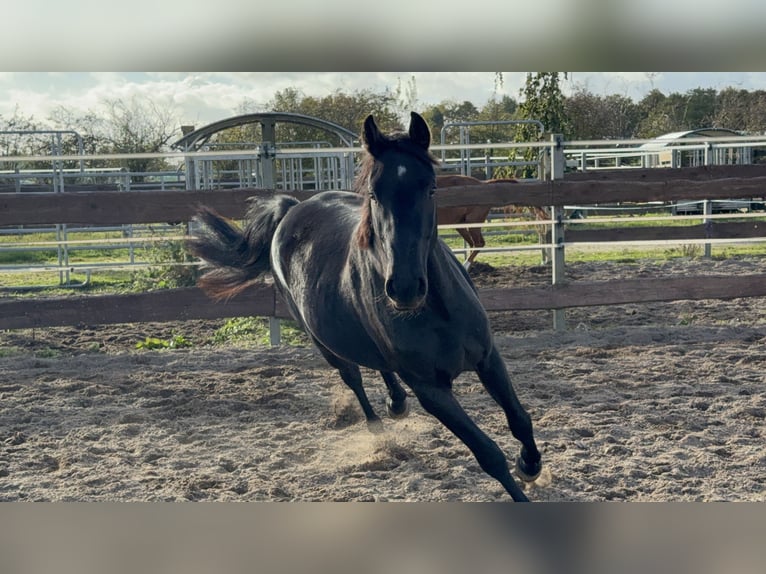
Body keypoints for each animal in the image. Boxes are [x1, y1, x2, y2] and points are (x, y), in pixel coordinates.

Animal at [187, 112, 542, 502]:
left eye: (431, 188)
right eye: (374, 193)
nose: (404, 288)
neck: (437, 311)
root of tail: (292, 210)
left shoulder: (487, 358)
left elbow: (520, 419)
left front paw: (530, 465)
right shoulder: (431, 391)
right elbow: (488, 454)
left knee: (379, 365)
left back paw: (396, 403)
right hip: (325, 344)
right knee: (353, 376)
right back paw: (379, 427)